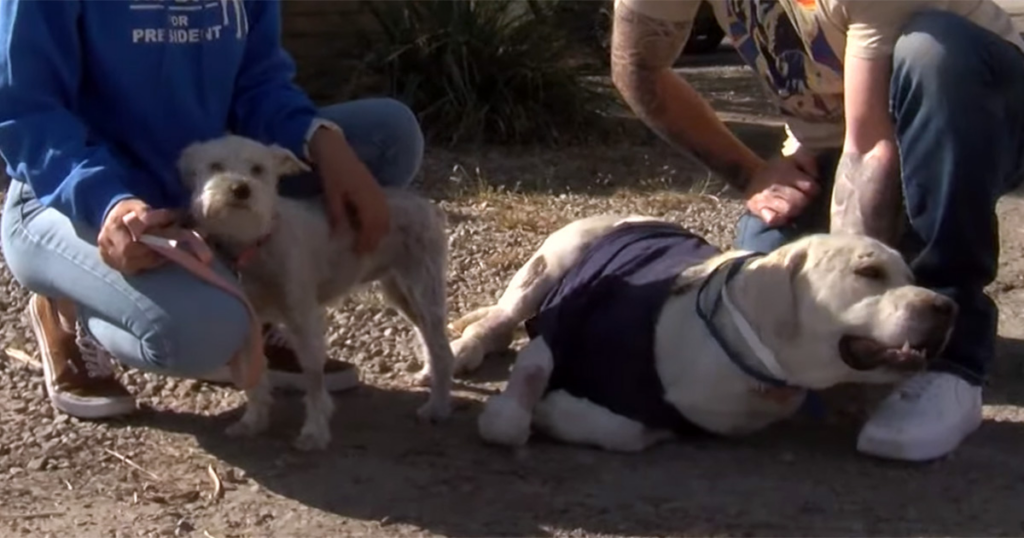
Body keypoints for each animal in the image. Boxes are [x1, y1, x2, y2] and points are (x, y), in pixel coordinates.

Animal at [178, 133, 454, 448]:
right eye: (215, 166)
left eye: (258, 169)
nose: (240, 188)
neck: (254, 244)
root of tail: (427, 205)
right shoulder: (249, 322)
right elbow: (255, 377)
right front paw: (252, 421)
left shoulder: (302, 318)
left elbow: (313, 377)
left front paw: (314, 431)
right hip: (400, 292)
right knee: (427, 337)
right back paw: (429, 375)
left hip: (423, 287)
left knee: (442, 348)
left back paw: (437, 407)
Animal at [450, 216, 958, 450]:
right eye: (868, 272)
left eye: (911, 274)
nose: (947, 307)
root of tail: (631, 217)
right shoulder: (556, 330)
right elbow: (512, 408)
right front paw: (523, 411)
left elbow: (626, 432)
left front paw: (555, 410)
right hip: (551, 262)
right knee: (503, 315)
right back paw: (466, 346)